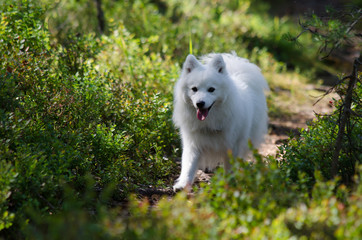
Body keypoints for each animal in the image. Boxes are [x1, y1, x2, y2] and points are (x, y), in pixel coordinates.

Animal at [173, 53, 268, 191]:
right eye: (194, 89)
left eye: (211, 89)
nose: (200, 103)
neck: (210, 121)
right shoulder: (193, 143)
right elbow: (188, 166)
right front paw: (182, 184)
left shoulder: (232, 146)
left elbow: (230, 168)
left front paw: (229, 185)